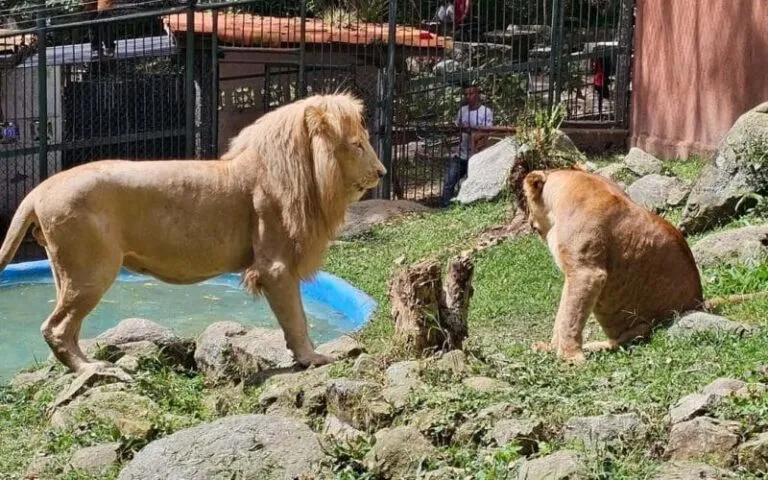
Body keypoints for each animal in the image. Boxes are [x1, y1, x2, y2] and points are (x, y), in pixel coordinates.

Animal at [0, 92, 386, 374]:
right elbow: (296, 318)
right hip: (92, 270)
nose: (382, 172)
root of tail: (38, 190)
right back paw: (92, 368)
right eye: (357, 144)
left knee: (68, 327)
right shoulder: (275, 266)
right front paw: (312, 358)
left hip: (67, 272)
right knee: (55, 327)